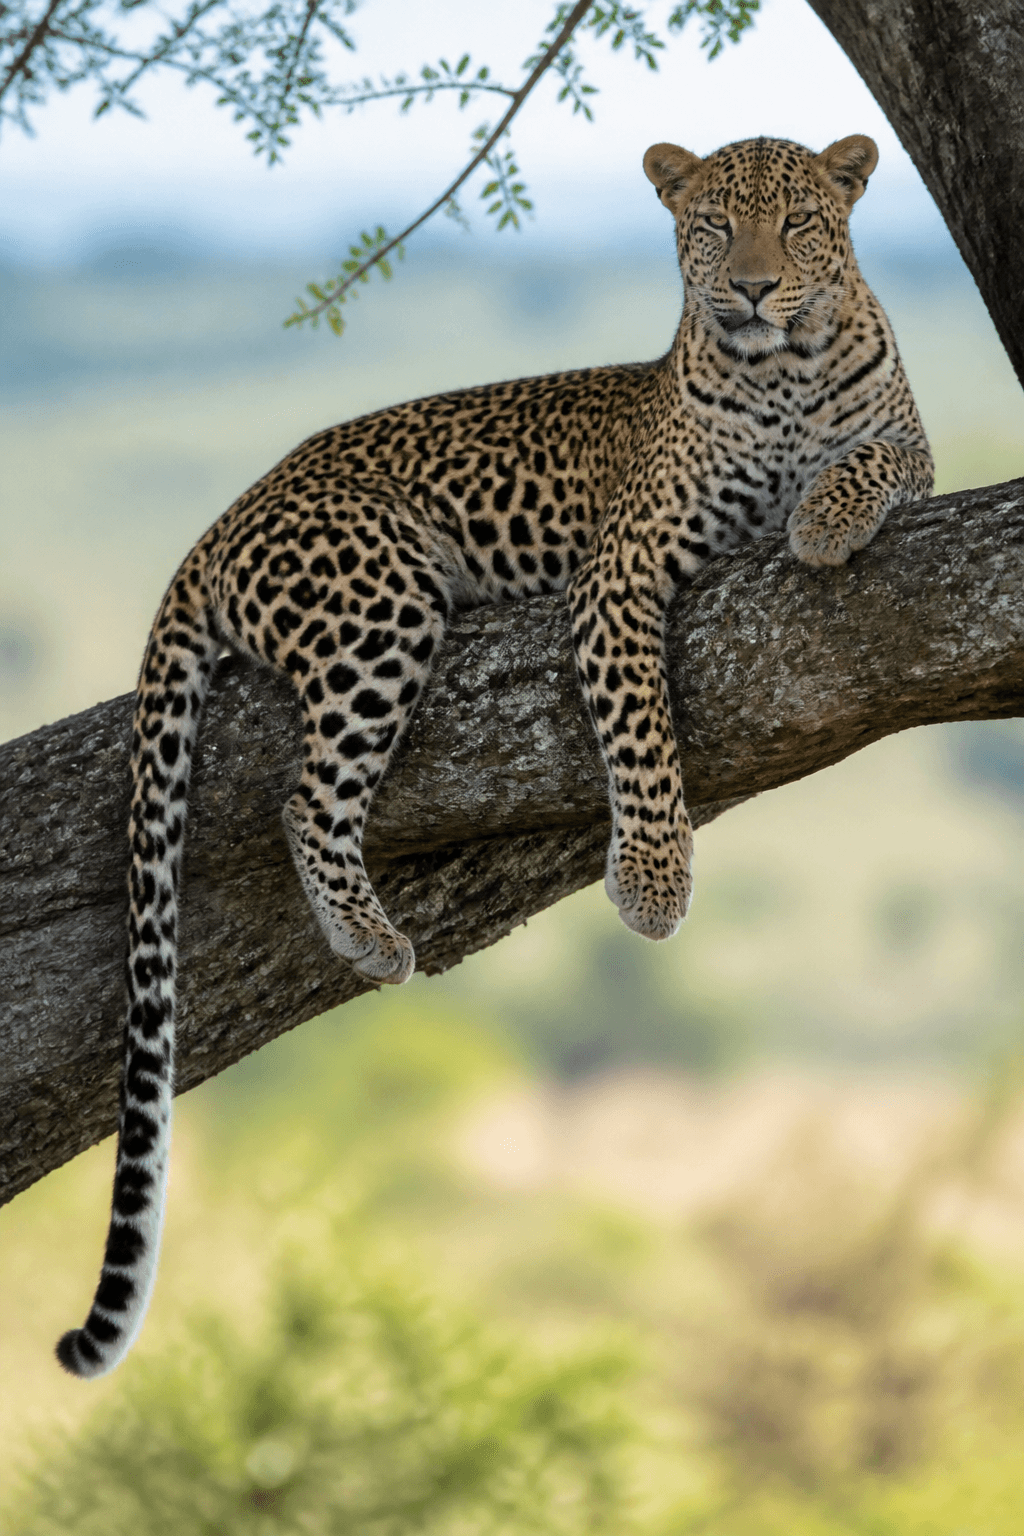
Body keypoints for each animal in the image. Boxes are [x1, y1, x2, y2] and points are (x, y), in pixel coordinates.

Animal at [57, 133, 934, 1378]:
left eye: (802, 222)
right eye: (713, 226)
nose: (755, 290)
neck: (783, 376)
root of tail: (221, 524)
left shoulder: (913, 449)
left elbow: (874, 463)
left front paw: (821, 517)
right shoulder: (619, 574)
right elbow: (641, 738)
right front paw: (653, 887)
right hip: (378, 599)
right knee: (306, 796)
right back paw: (368, 937)